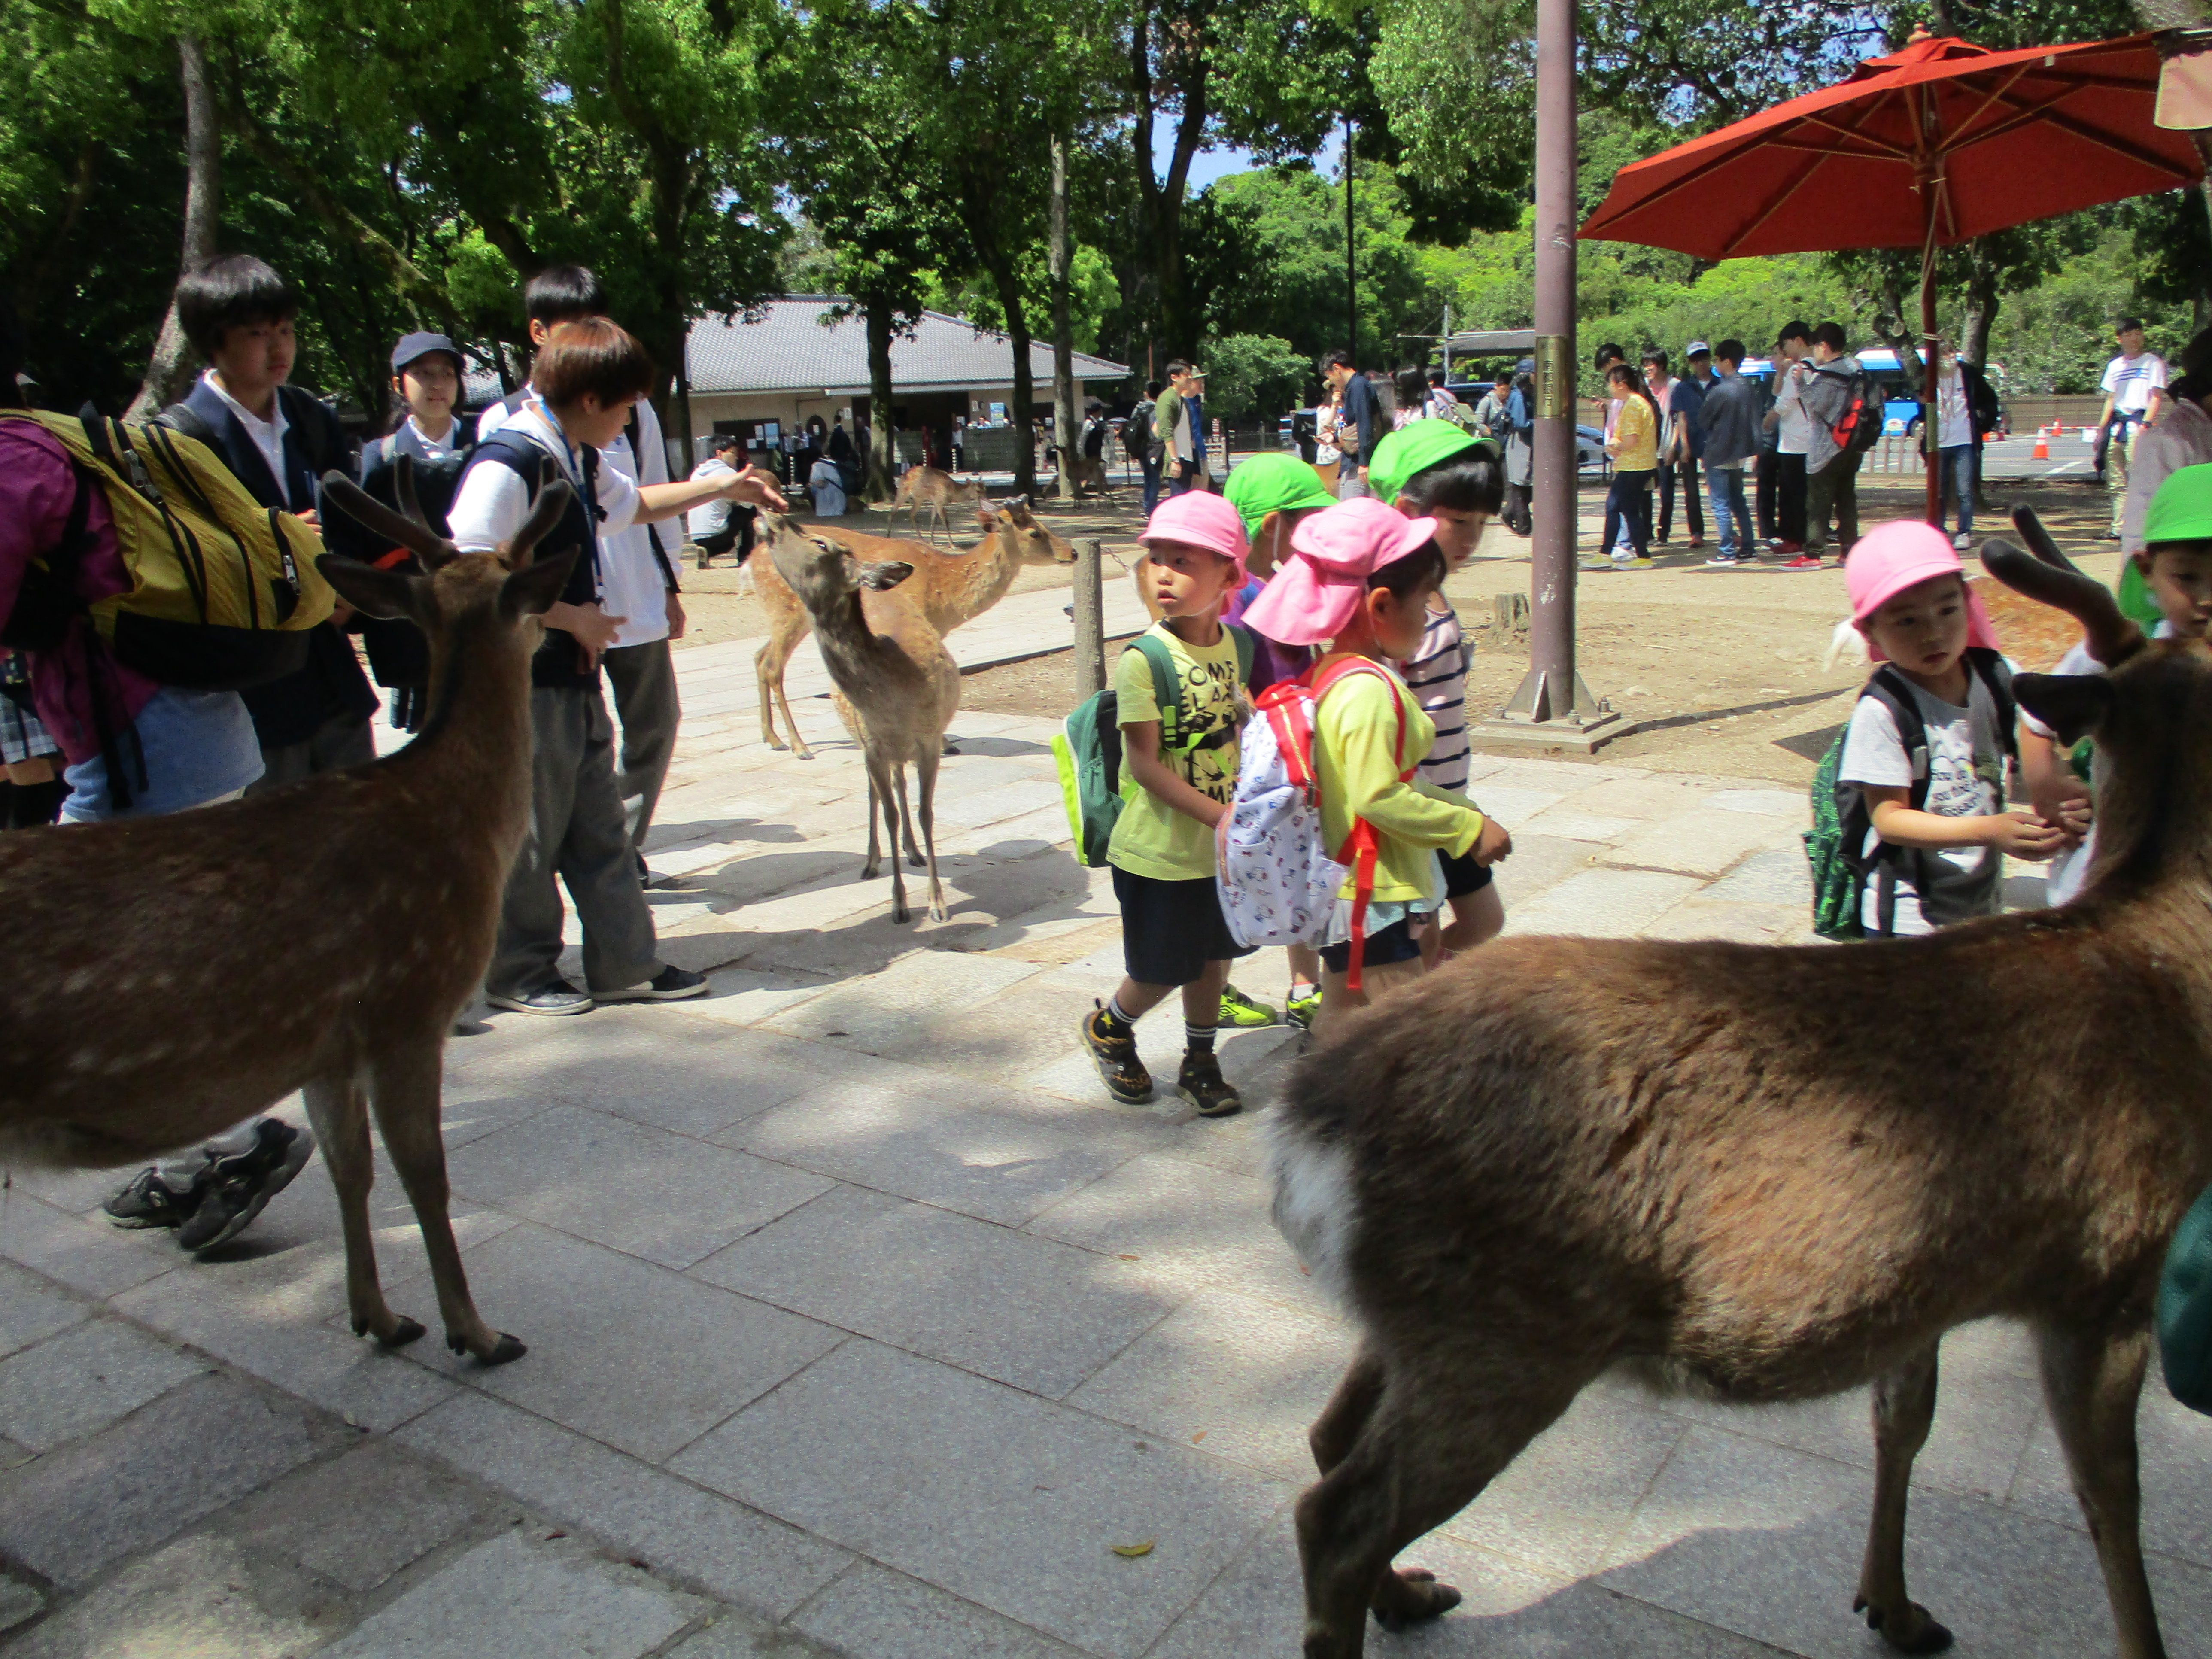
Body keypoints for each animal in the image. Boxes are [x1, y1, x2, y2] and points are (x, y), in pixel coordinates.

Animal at [0, 464, 579, 1380]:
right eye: (521, 589)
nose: (567, 634)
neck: (458, 820)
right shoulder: (406, 1004)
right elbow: (427, 1175)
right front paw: (479, 1332)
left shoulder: (323, 1039)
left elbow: (349, 1169)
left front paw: (380, 1316)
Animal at [756, 498, 1075, 765]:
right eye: (1035, 532)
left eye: (1042, 524)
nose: (1071, 551)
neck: (943, 595)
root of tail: (751, 560)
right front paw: (943, 744)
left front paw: (947, 743)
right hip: (788, 611)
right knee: (773, 666)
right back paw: (800, 747)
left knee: (760, 657)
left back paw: (773, 739)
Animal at [765, 513, 955, 929]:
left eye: (821, 543)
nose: (772, 518)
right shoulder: (872, 746)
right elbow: (889, 814)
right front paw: (899, 905)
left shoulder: (930, 740)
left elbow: (926, 813)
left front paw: (937, 903)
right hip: (864, 745)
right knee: (876, 793)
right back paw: (871, 861)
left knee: (900, 786)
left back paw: (914, 852)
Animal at [880, 462, 986, 546]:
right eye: (978, 491)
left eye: (985, 489)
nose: (985, 499)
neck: (951, 492)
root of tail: (902, 476)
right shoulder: (939, 501)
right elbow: (945, 522)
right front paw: (952, 544)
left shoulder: (936, 502)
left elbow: (933, 519)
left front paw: (932, 542)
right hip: (902, 492)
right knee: (893, 511)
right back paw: (888, 535)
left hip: (919, 499)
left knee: (911, 514)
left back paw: (921, 539)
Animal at [1265, 533, 2212, 1659]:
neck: (2167, 967)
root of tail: (1309, 1124)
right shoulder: (2107, 1266)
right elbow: (2112, 1500)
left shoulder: (1928, 1277)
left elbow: (1905, 1419)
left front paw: (1892, 1607)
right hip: (1501, 1332)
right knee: (1336, 1516)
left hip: (1418, 1318)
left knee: (1327, 1437)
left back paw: (1411, 1592)